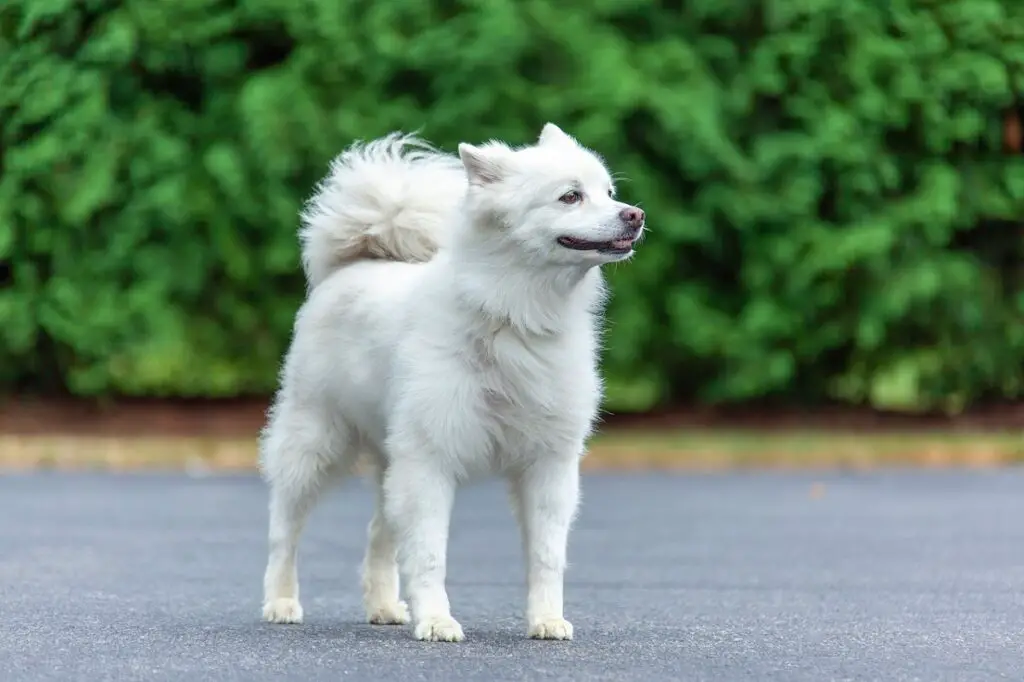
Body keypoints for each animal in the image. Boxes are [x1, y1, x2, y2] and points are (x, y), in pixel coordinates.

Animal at [260, 122, 643, 638]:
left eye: (609, 193)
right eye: (570, 196)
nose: (635, 215)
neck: (513, 316)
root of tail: (354, 264)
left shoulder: (548, 464)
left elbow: (546, 555)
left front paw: (546, 620)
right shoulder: (430, 460)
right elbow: (428, 554)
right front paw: (438, 621)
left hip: (390, 458)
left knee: (378, 534)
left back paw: (384, 606)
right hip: (315, 442)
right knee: (285, 530)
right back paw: (281, 602)